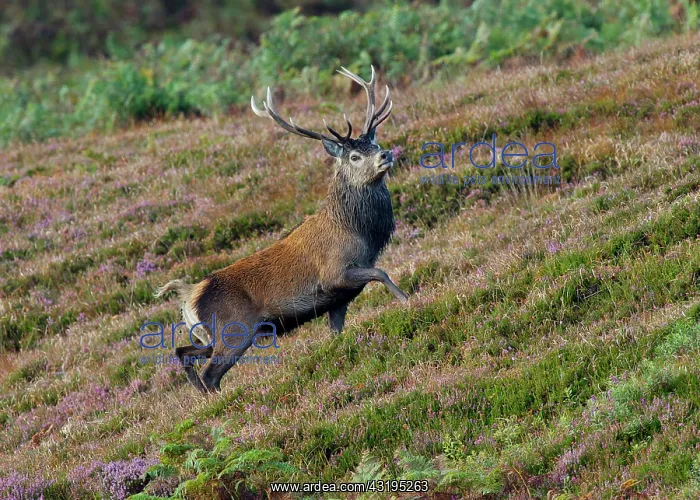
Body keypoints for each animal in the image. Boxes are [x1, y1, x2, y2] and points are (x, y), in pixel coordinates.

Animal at [155, 66, 408, 394]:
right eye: (354, 156)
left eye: (374, 144)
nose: (386, 154)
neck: (359, 235)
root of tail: (188, 295)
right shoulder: (335, 274)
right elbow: (382, 272)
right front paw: (407, 301)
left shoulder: (339, 300)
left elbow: (337, 332)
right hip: (235, 331)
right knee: (210, 373)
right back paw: (222, 399)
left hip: (209, 336)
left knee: (184, 352)